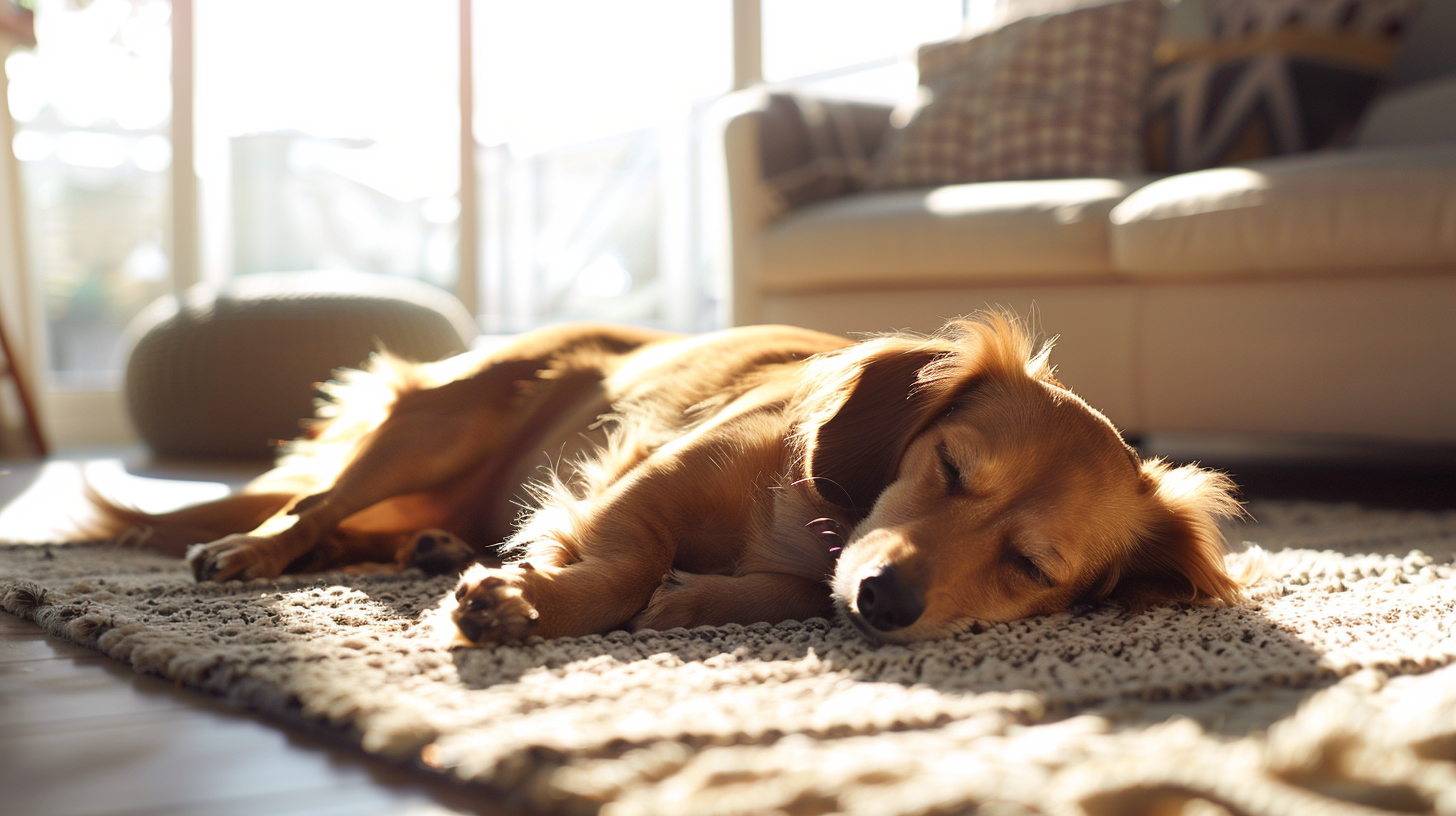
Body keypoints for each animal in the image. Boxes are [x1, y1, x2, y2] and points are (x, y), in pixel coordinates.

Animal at [96, 311, 1246, 644]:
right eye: (951, 466)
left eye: (1030, 567)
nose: (884, 600)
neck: (814, 524)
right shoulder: (643, 485)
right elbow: (617, 569)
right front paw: (523, 603)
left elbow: (758, 591)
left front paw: (692, 600)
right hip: (435, 421)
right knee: (313, 503)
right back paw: (252, 549)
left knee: (362, 528)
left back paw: (430, 545)